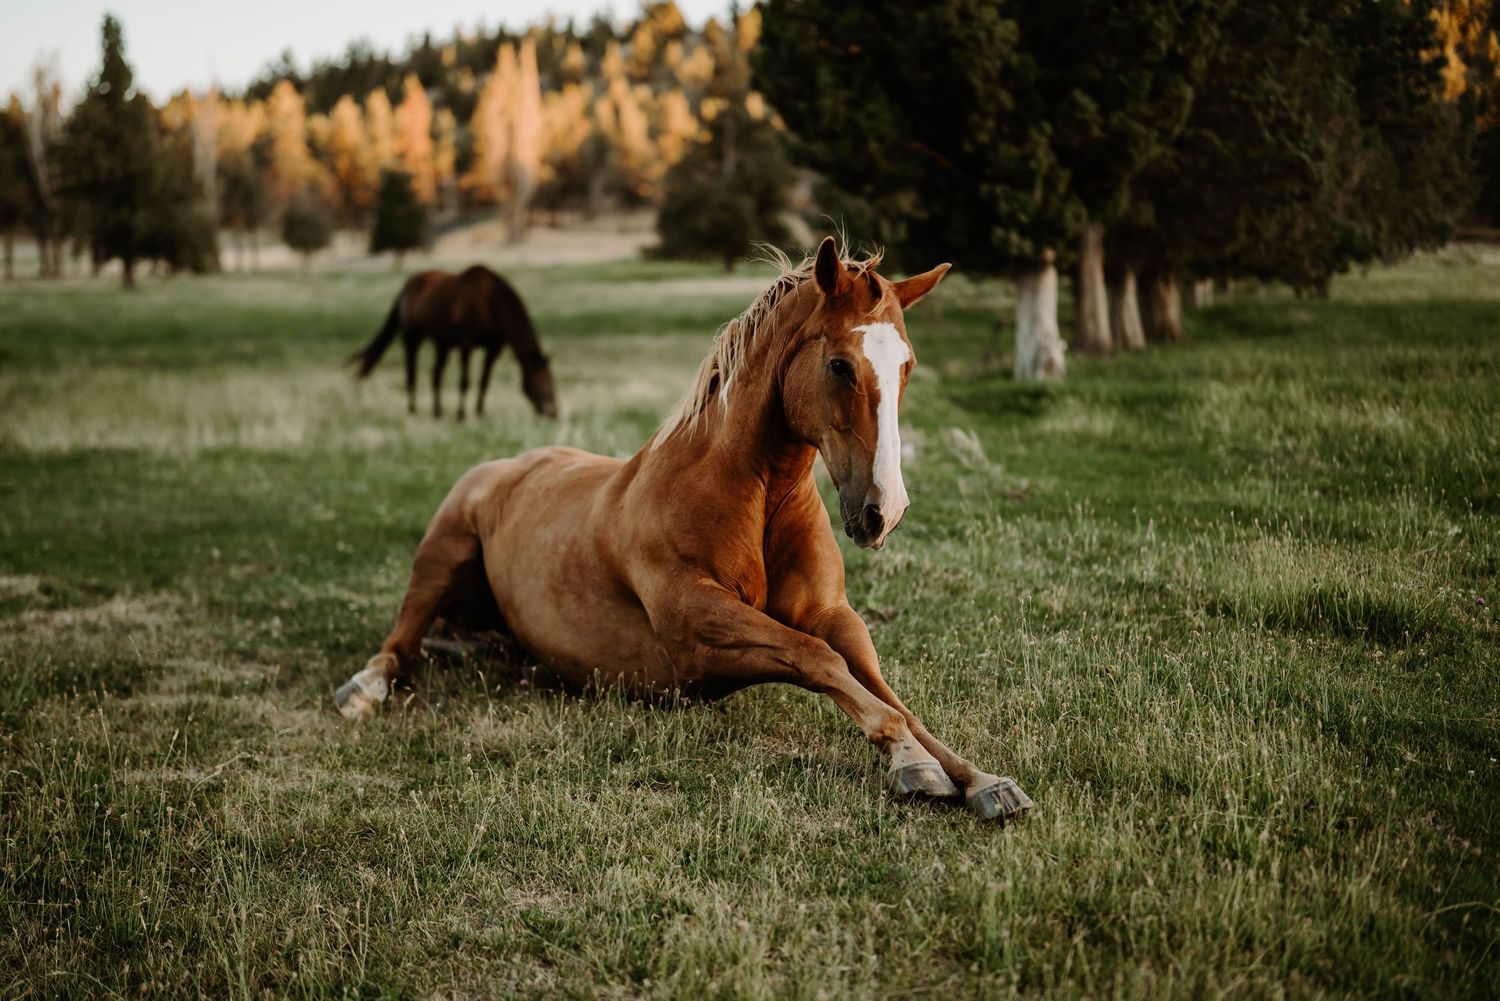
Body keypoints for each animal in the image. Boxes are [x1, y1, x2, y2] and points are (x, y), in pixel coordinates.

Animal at [350, 264, 558, 420]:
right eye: (543, 381)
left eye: (552, 380)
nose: (553, 413)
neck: (491, 303)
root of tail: (406, 285)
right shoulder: (466, 344)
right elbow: (465, 381)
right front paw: (461, 415)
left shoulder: (494, 348)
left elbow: (484, 382)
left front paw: (480, 413)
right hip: (412, 337)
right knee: (411, 374)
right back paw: (413, 411)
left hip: (442, 344)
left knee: (435, 374)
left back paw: (437, 412)